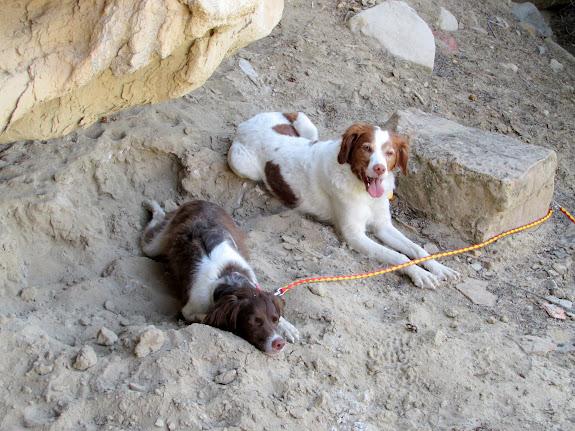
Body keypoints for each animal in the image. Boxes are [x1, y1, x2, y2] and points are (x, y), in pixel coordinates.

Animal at [143, 199, 302, 354]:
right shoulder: (190, 308)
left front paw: (286, 327)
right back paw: (152, 205)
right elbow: (206, 318)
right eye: (254, 321)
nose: (279, 343)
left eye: (274, 319)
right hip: (153, 246)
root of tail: (199, 200)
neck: (228, 279)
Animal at [227, 112, 462, 290]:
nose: (380, 168)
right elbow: (398, 257)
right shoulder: (354, 235)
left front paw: (439, 268)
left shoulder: (383, 226)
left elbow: (417, 248)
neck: (360, 188)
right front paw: (419, 273)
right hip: (240, 165)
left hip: (307, 123)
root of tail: (246, 124)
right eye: (366, 148)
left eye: (390, 152)